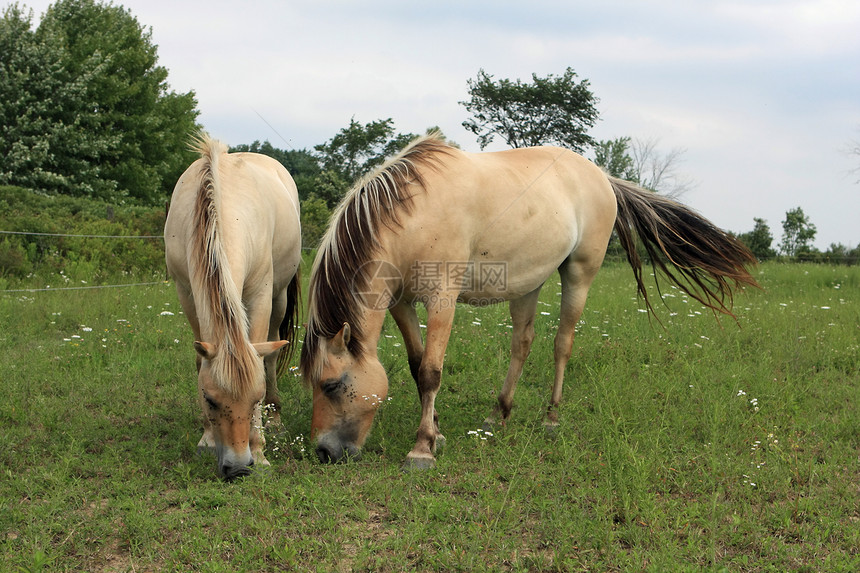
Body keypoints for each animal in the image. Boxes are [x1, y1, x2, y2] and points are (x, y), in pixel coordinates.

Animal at [165, 134, 302, 478]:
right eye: (210, 400)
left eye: (255, 399)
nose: (239, 467)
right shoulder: (186, 292)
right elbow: (200, 362)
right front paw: (207, 438)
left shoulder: (261, 295)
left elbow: (260, 356)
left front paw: (261, 450)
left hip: (279, 298)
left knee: (271, 356)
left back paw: (275, 420)